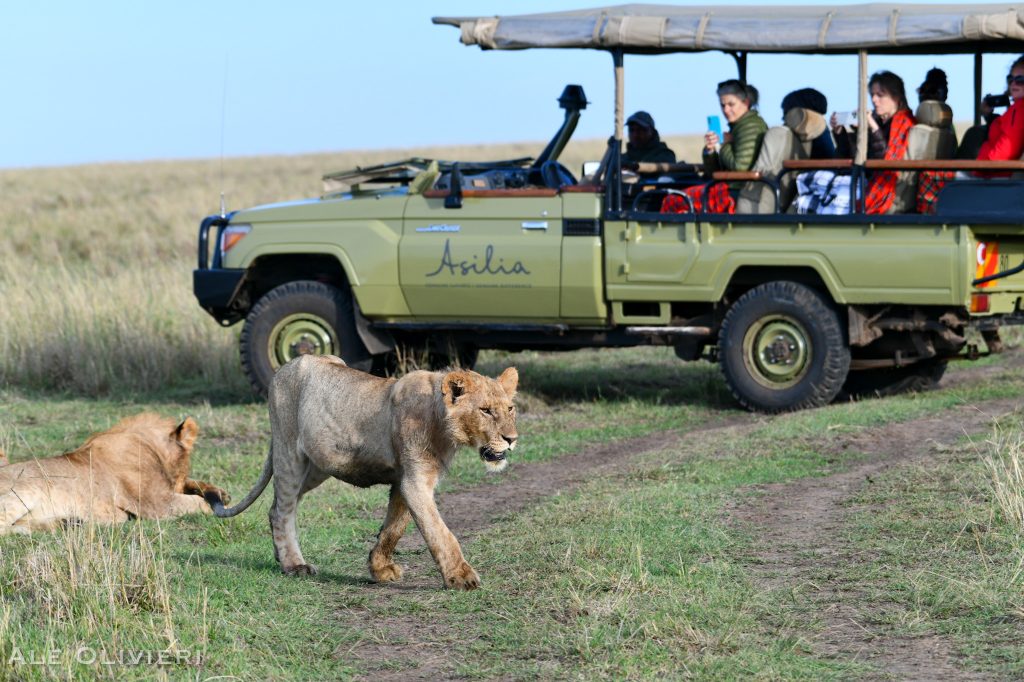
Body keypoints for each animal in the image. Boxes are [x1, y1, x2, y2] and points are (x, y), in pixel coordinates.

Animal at [0, 413, 229, 534]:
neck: (150, 446)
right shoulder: (156, 503)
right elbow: (197, 503)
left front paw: (220, 493)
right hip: (25, 491)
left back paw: (67, 522)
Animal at [208, 354, 519, 590]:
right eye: (485, 410)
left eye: (510, 408)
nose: (512, 439)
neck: (440, 419)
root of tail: (286, 366)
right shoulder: (415, 481)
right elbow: (440, 533)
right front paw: (461, 577)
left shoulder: (403, 480)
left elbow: (394, 528)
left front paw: (380, 568)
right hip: (289, 453)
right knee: (283, 509)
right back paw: (294, 565)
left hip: (319, 466)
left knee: (279, 506)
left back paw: (280, 556)